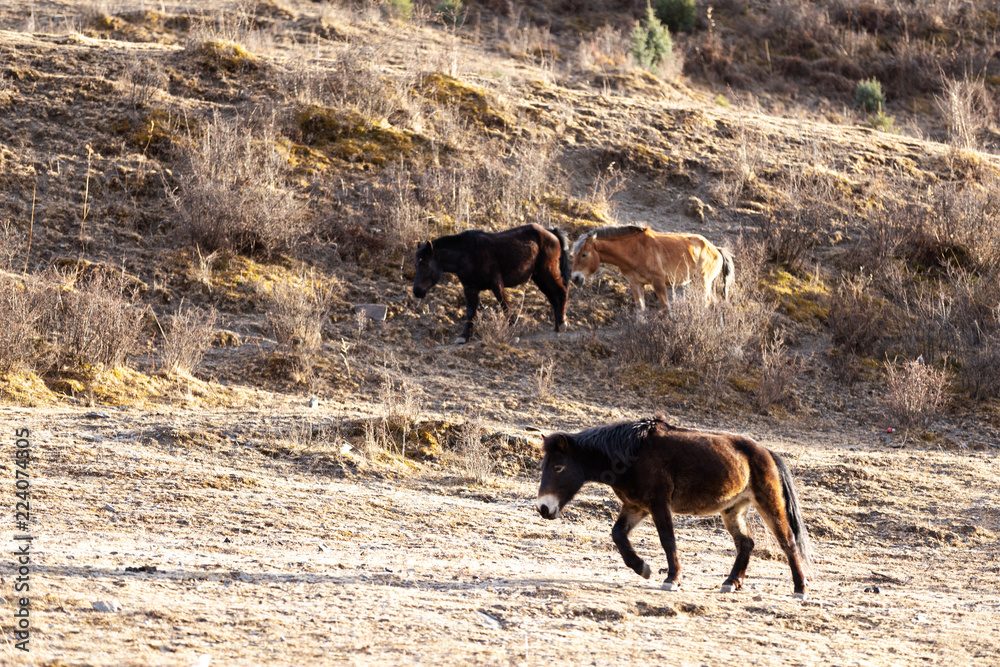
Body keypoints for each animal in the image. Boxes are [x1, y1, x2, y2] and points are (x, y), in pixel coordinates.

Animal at [412, 224, 572, 344]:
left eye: (426, 263)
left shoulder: (496, 284)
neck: (467, 254)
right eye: (416, 264)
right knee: (554, 298)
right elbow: (470, 311)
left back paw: (562, 323)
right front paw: (464, 336)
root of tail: (552, 233)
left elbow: (505, 307)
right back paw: (558, 325)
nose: (417, 291)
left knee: (562, 291)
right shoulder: (470, 289)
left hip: (548, 272)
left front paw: (512, 332)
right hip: (539, 277)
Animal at [540, 414, 812, 596]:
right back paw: (731, 583)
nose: (543, 508)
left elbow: (667, 539)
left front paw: (672, 579)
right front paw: (643, 568)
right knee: (746, 543)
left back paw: (799, 589)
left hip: (768, 502)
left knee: (788, 541)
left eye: (559, 467)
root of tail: (766, 452)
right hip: (733, 509)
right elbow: (618, 534)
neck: (631, 452)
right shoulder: (635, 506)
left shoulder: (658, 504)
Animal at [572, 224, 736, 308]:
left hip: (703, 283)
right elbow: (640, 312)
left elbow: (666, 309)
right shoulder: (636, 284)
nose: (575, 278)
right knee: (715, 303)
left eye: (584, 254)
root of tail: (716, 249)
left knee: (707, 303)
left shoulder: (658, 282)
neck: (634, 249)